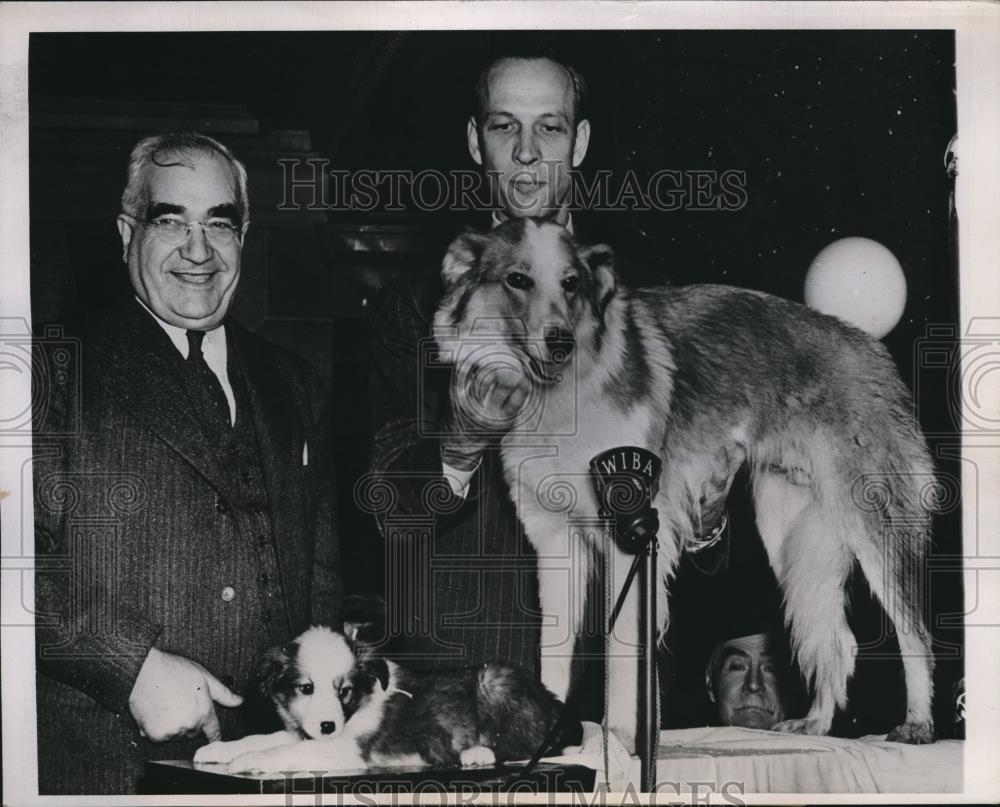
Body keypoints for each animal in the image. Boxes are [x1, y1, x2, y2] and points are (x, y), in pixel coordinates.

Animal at [192, 628, 580, 772]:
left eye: (344, 690)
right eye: (306, 688)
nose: (328, 725)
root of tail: (555, 706)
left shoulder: (345, 749)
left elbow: (285, 751)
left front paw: (248, 760)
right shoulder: (299, 731)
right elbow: (267, 737)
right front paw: (219, 749)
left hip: (495, 682)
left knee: (530, 745)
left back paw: (478, 753)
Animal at [432, 219, 936, 752]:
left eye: (571, 283)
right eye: (517, 280)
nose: (560, 344)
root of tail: (871, 347)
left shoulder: (631, 536)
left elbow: (623, 656)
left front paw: (621, 741)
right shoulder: (553, 541)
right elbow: (554, 652)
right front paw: (553, 737)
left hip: (876, 528)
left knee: (915, 634)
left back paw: (917, 725)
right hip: (794, 544)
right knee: (837, 641)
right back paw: (816, 724)